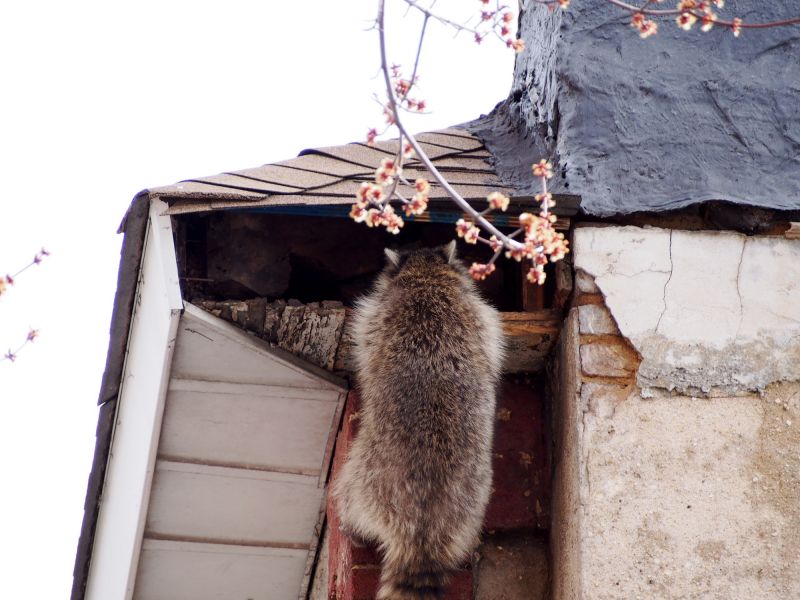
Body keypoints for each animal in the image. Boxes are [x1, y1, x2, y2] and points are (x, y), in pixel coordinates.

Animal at [333, 242, 505, 599]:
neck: (426, 276)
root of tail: (421, 533)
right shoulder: (477, 319)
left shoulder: (379, 318)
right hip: (471, 504)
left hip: (365, 477)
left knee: (350, 495)